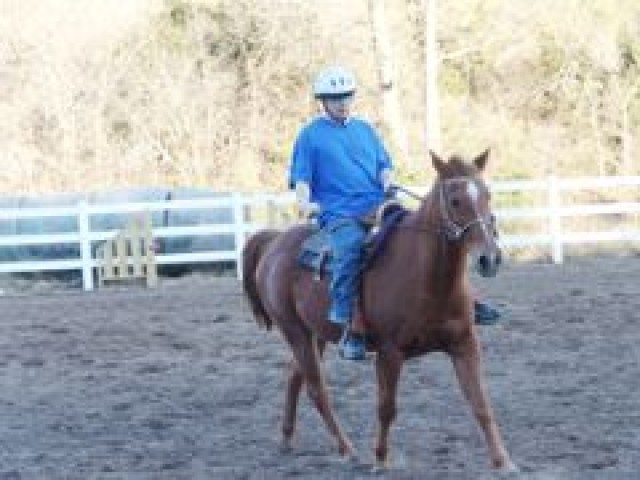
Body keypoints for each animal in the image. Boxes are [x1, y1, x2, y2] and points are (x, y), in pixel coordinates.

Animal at [242, 151, 516, 472]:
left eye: (487, 194)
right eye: (455, 200)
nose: (490, 258)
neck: (429, 279)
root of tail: (274, 241)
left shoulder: (464, 345)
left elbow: (480, 404)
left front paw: (502, 461)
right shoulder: (389, 353)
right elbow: (386, 408)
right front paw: (380, 459)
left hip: (315, 333)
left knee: (294, 377)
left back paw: (286, 439)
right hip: (294, 331)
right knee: (317, 389)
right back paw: (346, 449)